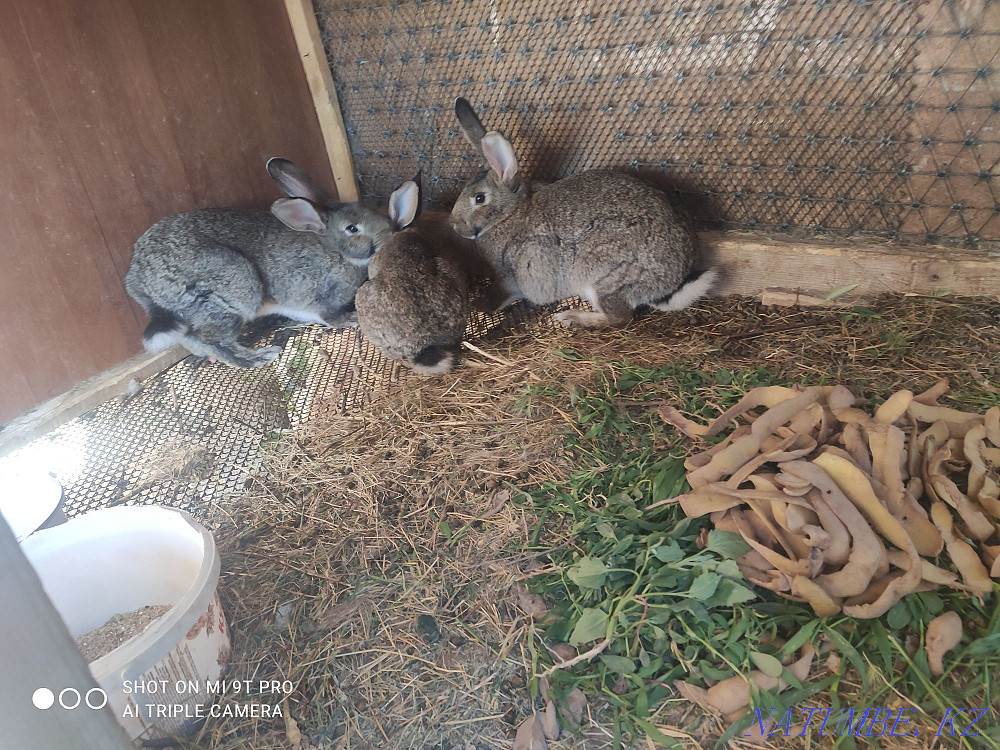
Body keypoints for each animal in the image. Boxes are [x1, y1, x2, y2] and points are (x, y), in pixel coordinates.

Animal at [124, 158, 391, 367]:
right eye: (352, 228)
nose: (388, 232)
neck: (335, 251)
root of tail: (136, 280)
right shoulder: (318, 294)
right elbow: (328, 315)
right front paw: (351, 319)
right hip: (233, 288)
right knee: (215, 340)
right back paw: (260, 357)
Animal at [448, 97, 718, 328]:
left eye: (479, 198)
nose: (454, 225)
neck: (510, 213)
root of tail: (672, 283)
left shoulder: (513, 274)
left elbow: (502, 294)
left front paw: (479, 307)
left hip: (600, 276)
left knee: (619, 318)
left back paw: (572, 317)